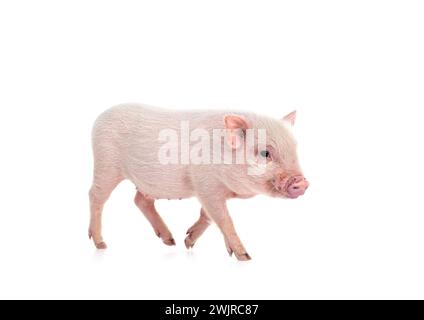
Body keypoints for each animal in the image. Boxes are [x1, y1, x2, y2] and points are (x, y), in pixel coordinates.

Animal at [88, 104, 308, 262]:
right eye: (265, 153)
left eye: (295, 149)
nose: (302, 182)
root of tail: (98, 119)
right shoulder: (205, 184)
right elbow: (224, 219)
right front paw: (245, 257)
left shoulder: (209, 190)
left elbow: (208, 216)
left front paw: (188, 242)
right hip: (106, 165)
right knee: (95, 196)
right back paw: (100, 244)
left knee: (140, 200)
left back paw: (171, 241)